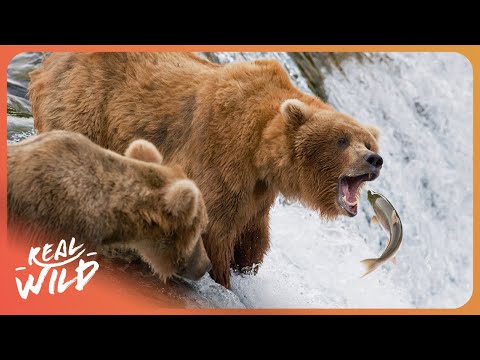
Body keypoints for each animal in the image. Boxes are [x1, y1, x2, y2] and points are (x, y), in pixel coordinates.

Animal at [30, 52, 382, 288]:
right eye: (341, 140)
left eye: (367, 142)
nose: (374, 160)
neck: (262, 151)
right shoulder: (222, 153)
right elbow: (215, 226)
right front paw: (222, 275)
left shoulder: (257, 190)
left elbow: (253, 234)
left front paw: (245, 265)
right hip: (87, 104)